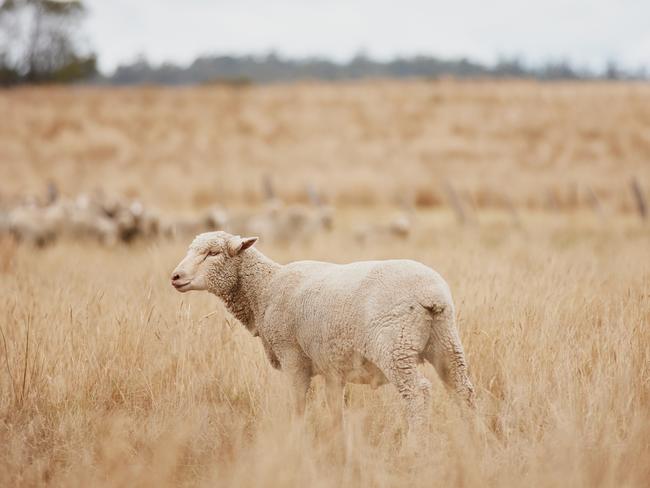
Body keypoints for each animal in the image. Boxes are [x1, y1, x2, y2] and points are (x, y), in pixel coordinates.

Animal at [171, 231, 476, 436]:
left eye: (213, 254)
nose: (175, 277)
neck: (265, 289)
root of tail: (431, 294)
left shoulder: (292, 356)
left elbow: (297, 405)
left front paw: (295, 440)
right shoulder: (332, 367)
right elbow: (334, 410)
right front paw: (336, 441)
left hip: (394, 346)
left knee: (417, 393)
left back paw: (415, 447)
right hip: (445, 339)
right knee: (463, 389)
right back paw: (474, 438)